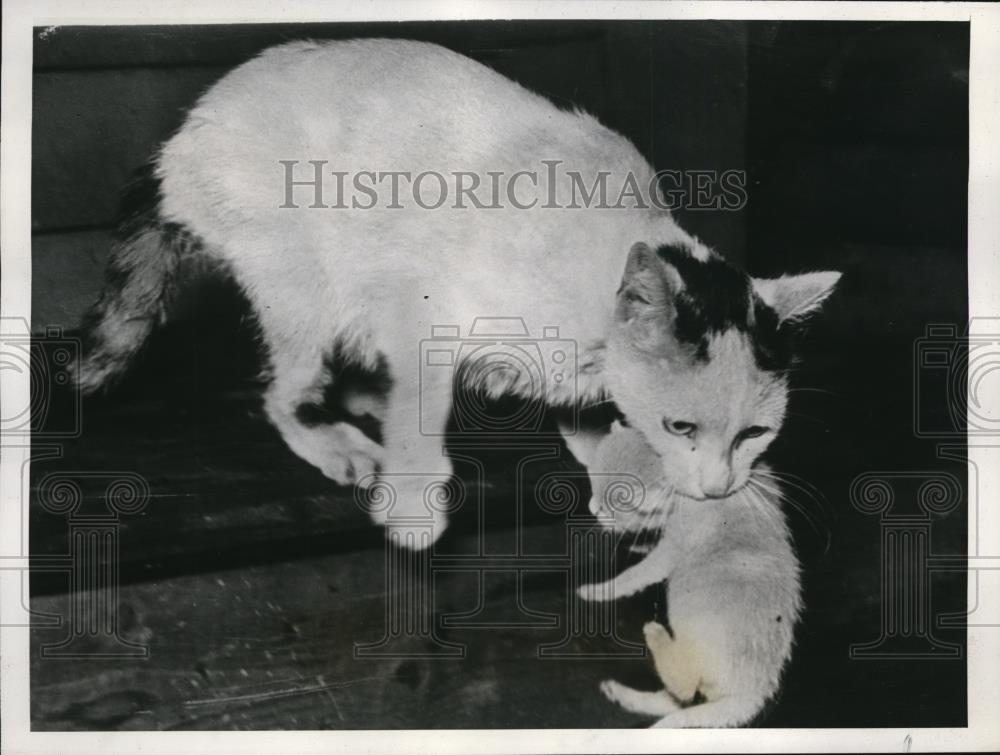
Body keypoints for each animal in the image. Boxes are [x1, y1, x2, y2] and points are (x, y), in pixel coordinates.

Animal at [74, 38, 840, 548]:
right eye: (683, 428)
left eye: (755, 435)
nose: (719, 488)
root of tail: (181, 140)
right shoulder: (419, 308)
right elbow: (423, 406)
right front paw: (414, 499)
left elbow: (585, 418)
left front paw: (618, 476)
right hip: (303, 278)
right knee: (282, 392)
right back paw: (336, 437)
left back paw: (365, 398)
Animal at [576, 422, 800, 728]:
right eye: (593, 480)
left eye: (618, 503)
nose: (593, 507)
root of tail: (755, 688)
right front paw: (639, 543)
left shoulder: (674, 545)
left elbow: (638, 573)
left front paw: (598, 590)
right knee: (677, 702)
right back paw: (624, 695)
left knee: (684, 685)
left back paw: (656, 635)